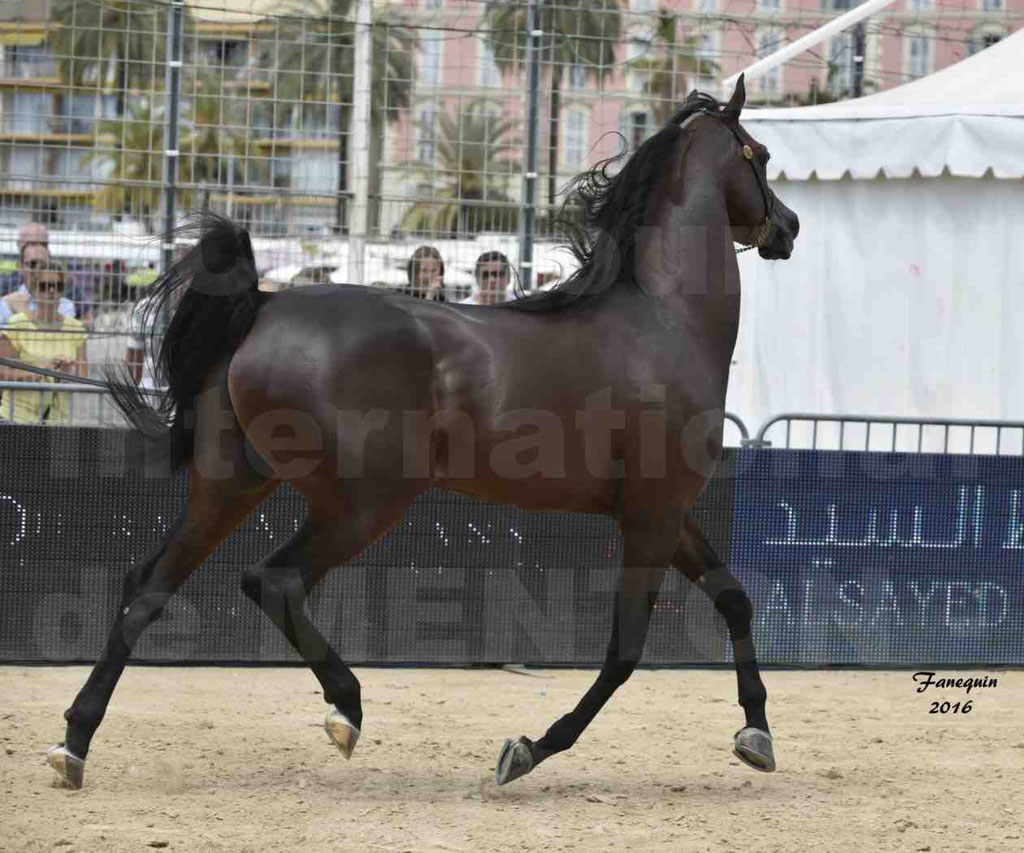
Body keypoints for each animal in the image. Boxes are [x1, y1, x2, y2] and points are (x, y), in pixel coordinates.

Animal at [46, 79, 798, 786]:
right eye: (760, 156)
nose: (787, 226)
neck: (663, 321)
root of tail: (262, 305)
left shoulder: (667, 512)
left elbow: (734, 598)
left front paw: (757, 736)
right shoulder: (651, 513)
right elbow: (625, 651)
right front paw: (526, 750)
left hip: (232, 485)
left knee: (147, 587)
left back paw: (73, 743)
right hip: (366, 501)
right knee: (274, 581)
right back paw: (345, 709)